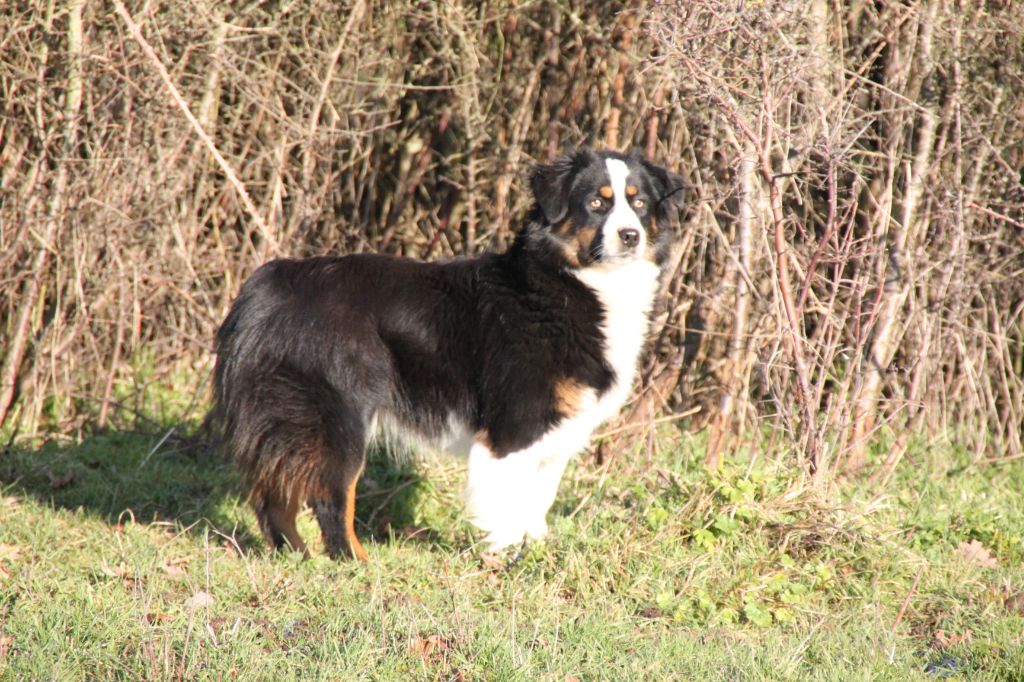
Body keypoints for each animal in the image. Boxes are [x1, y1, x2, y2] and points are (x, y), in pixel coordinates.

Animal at [208, 148, 684, 557]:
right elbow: (505, 504)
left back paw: (297, 556)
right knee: (330, 498)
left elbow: (538, 500)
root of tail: (268, 283)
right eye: (597, 203)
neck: (572, 283)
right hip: (337, 417)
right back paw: (356, 563)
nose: (630, 236)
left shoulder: (555, 431)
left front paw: (538, 552)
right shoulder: (514, 425)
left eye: (639, 204)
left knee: (274, 496)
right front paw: (506, 561)